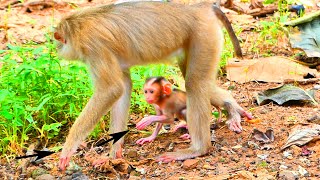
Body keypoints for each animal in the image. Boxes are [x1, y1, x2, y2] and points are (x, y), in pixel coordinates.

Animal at [54, 1, 252, 170]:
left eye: (57, 41)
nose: (56, 49)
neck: (78, 26)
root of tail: (202, 7)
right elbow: (123, 87)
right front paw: (113, 155)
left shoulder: (94, 46)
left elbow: (111, 90)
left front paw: (68, 149)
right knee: (199, 80)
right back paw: (231, 106)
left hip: (204, 35)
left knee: (194, 82)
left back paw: (199, 148)